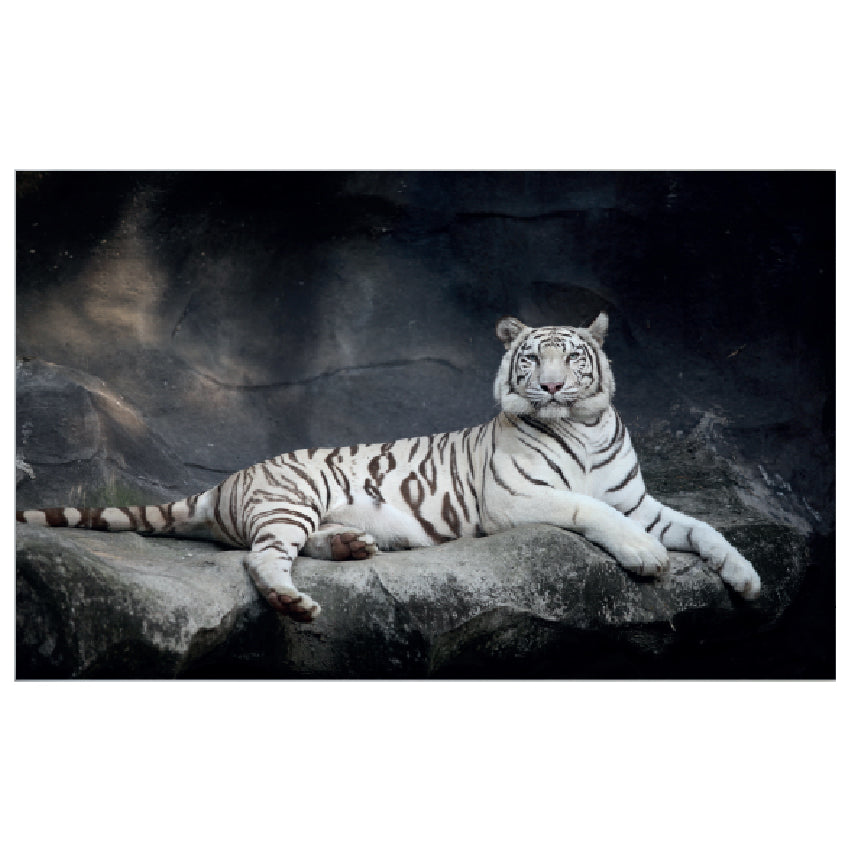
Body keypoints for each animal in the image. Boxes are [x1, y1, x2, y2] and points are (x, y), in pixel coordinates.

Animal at [16, 313, 762, 621]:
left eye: (571, 359)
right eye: (532, 358)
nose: (550, 387)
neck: (579, 423)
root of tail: (223, 482)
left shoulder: (638, 499)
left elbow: (702, 528)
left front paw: (747, 577)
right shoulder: (518, 499)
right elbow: (592, 510)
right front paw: (647, 558)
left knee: (281, 548)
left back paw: (353, 545)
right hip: (290, 498)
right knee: (260, 559)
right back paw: (294, 599)